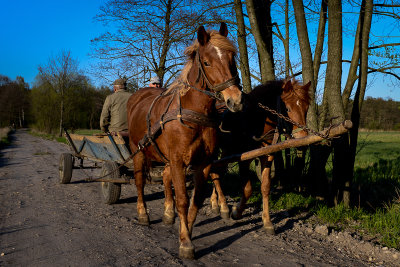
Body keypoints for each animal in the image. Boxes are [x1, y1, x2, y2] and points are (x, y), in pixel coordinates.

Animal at [126, 23, 242, 260]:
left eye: (232, 58)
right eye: (207, 62)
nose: (235, 100)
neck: (193, 113)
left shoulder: (203, 163)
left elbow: (195, 201)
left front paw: (185, 229)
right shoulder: (179, 161)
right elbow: (183, 200)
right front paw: (186, 242)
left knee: (165, 177)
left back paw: (168, 213)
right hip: (138, 152)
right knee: (140, 182)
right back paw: (143, 213)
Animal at [211, 79, 310, 234]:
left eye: (306, 108)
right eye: (287, 109)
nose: (302, 138)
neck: (255, 120)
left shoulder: (266, 156)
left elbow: (265, 186)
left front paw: (267, 221)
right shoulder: (244, 160)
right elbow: (247, 189)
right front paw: (236, 212)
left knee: (214, 172)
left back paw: (215, 203)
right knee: (214, 173)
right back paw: (222, 206)